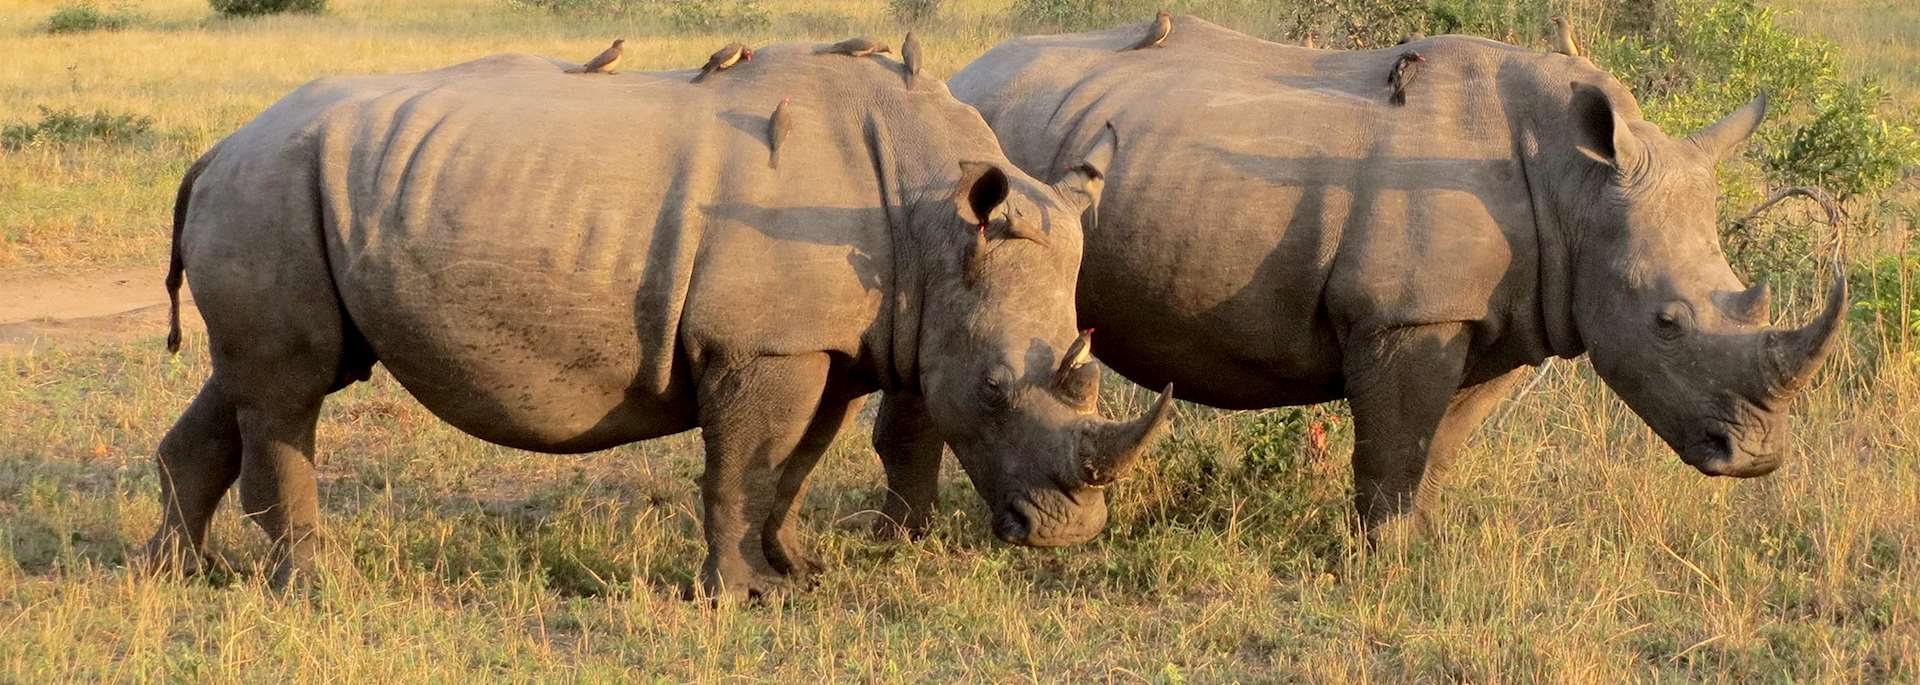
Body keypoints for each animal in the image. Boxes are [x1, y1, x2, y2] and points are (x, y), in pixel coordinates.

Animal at [145, 45, 1173, 595]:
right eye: (995, 391)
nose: (1067, 536)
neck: (932, 208)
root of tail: (215, 150)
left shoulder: (822, 342)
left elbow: (789, 466)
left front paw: (792, 568)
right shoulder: (765, 342)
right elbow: (744, 463)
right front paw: (743, 594)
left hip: (276, 190)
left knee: (248, 382)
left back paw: (177, 575)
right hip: (271, 186)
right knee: (290, 389)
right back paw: (319, 586)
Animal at [862, 17, 1847, 537]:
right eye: (1667, 322)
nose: (1756, 458)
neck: (1576, 180)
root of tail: (967, 72)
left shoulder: (1501, 317)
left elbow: (1439, 442)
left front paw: (1423, 541)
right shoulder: (1405, 314)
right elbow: (1395, 440)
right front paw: (1383, 556)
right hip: (965, 167)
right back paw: (915, 538)